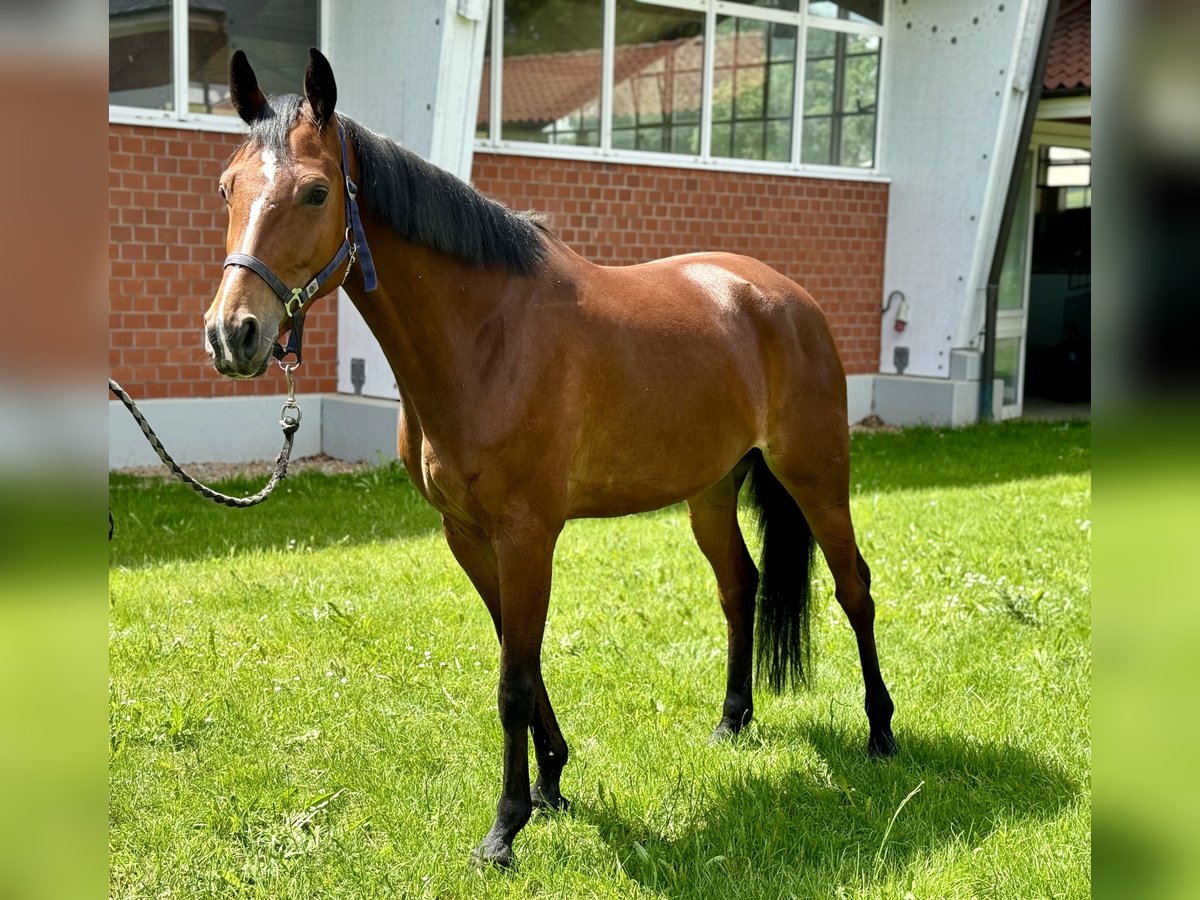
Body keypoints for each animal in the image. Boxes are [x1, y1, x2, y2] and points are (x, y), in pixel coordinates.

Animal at [206, 47, 897, 868]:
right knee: (741, 587)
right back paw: (733, 720)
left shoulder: (527, 534)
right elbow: (520, 657)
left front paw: (505, 827)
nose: (233, 334)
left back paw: (882, 732)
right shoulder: (469, 536)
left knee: (855, 589)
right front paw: (552, 783)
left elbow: (512, 680)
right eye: (227, 188)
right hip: (709, 491)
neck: (486, 338)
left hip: (817, 477)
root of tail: (788, 298)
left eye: (315, 192)